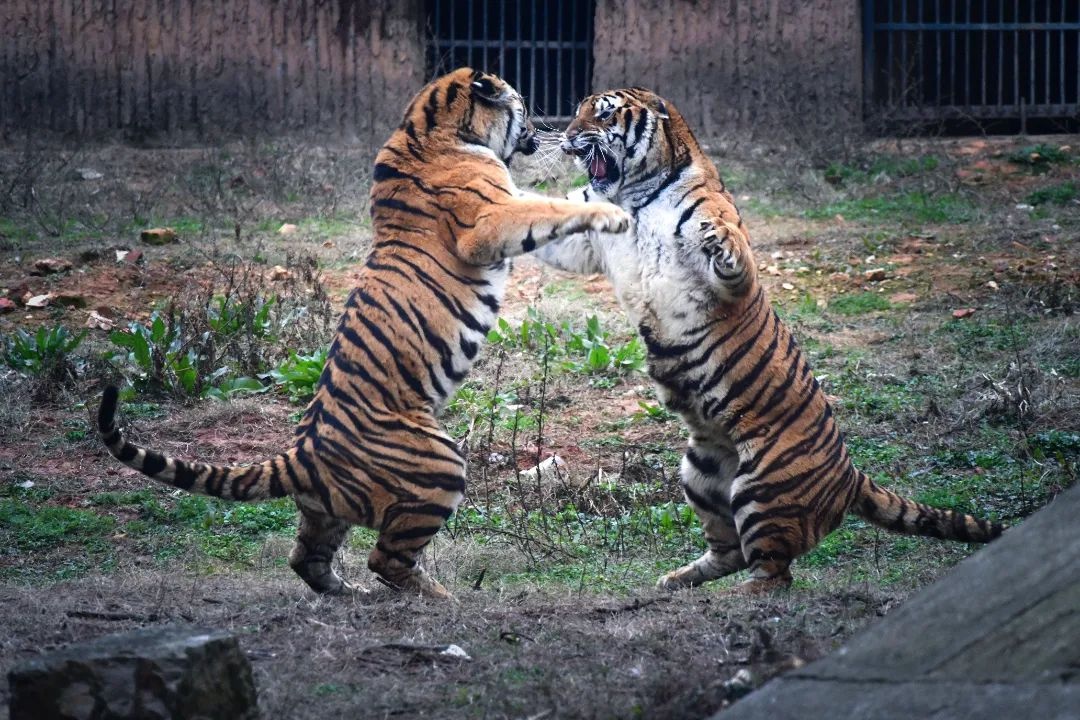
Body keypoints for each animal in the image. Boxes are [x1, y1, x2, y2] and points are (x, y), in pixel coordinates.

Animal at [98, 69, 630, 595]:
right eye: (519, 101)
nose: (541, 126)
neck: (428, 128)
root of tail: (300, 455)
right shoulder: (488, 221)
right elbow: (545, 208)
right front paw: (612, 214)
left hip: (328, 512)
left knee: (306, 559)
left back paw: (350, 593)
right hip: (441, 466)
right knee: (387, 560)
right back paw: (441, 599)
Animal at [531, 90, 1002, 595]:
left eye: (602, 114)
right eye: (578, 112)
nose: (567, 137)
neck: (633, 197)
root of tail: (850, 474)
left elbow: (729, 253)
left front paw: (720, 241)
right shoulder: (585, 239)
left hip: (763, 490)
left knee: (775, 574)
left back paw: (737, 598)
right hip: (699, 471)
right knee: (730, 552)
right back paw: (677, 581)